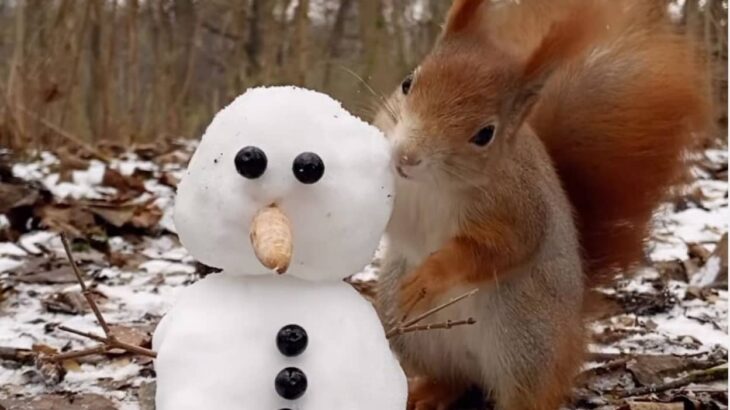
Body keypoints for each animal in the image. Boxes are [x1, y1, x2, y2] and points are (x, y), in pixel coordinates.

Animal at [372, 0, 708, 410]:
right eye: (408, 82)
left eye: (485, 134)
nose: (407, 157)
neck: (429, 186)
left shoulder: (520, 209)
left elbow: (498, 251)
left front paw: (429, 277)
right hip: (408, 327)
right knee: (452, 377)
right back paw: (428, 392)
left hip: (527, 340)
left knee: (528, 393)